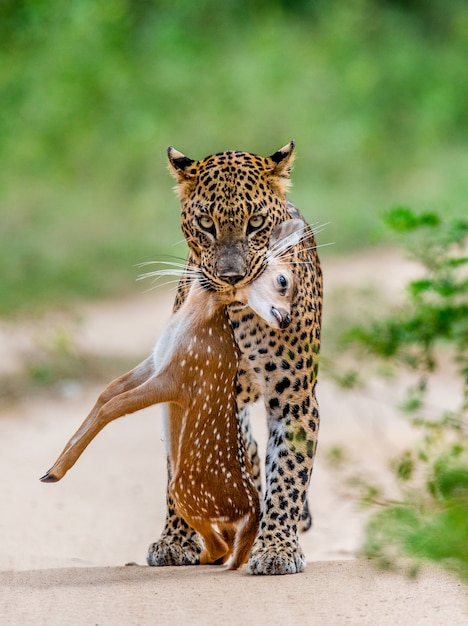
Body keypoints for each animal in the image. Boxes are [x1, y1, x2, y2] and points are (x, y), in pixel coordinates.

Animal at [146, 141, 322, 576]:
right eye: (206, 223)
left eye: (255, 222)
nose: (231, 278)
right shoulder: (185, 391)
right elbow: (180, 470)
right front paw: (175, 540)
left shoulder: (294, 399)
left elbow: (289, 473)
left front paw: (276, 548)